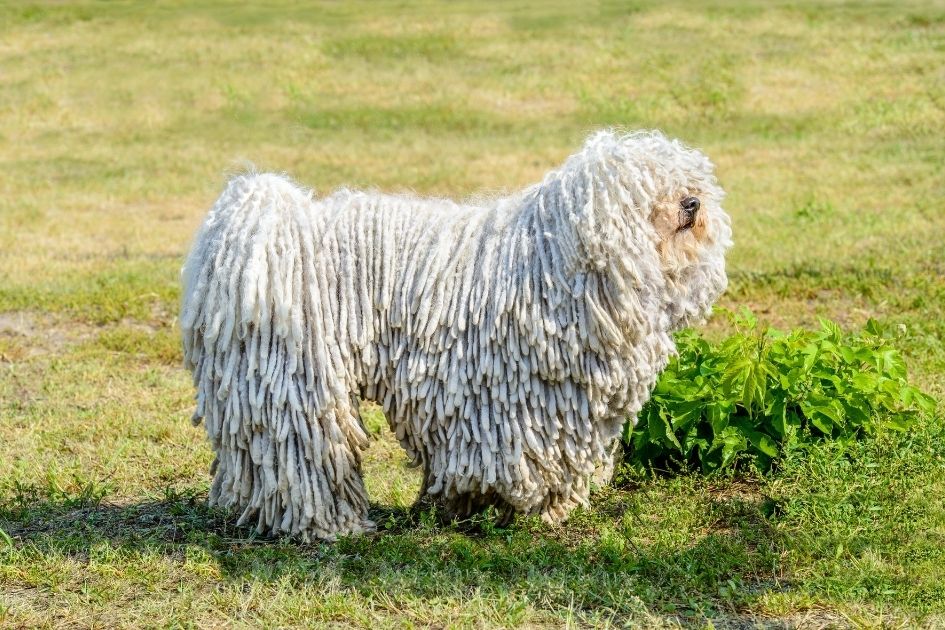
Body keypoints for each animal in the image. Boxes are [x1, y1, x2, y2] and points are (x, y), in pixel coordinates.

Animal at [181, 131, 732, 540]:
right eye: (645, 189)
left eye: (687, 179)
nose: (691, 202)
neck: (557, 264)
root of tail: (255, 230)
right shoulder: (508, 401)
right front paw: (519, 510)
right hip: (298, 380)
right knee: (304, 454)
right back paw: (330, 525)